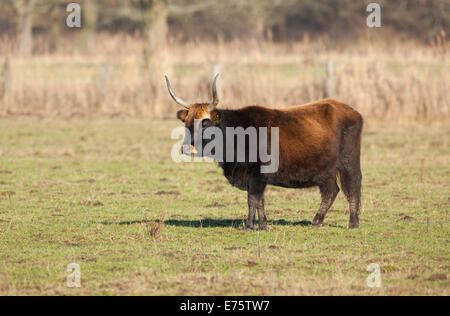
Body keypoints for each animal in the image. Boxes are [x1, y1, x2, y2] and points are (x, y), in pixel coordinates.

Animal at [165, 74, 362, 230]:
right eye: (187, 123)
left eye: (206, 122)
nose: (187, 148)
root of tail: (349, 109)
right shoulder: (253, 177)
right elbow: (259, 200)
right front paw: (262, 224)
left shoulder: (257, 174)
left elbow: (252, 199)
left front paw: (249, 225)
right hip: (325, 170)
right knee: (331, 191)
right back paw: (317, 221)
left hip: (348, 163)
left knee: (352, 189)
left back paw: (353, 223)